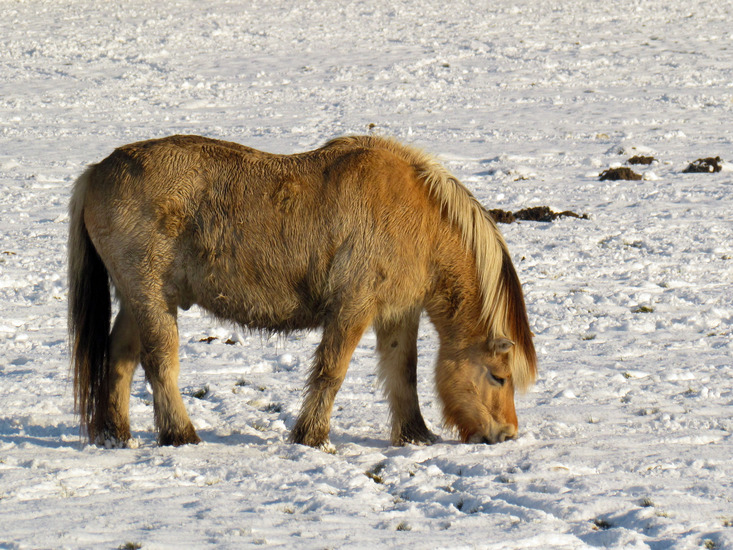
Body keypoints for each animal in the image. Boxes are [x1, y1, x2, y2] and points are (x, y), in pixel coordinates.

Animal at [68, 134, 536, 448]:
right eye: (498, 376)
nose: (507, 433)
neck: (418, 217)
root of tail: (97, 170)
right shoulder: (352, 307)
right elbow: (332, 371)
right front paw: (311, 436)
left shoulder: (397, 313)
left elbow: (403, 371)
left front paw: (415, 435)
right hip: (150, 296)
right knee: (158, 362)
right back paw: (180, 434)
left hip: (137, 298)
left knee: (119, 358)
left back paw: (116, 434)